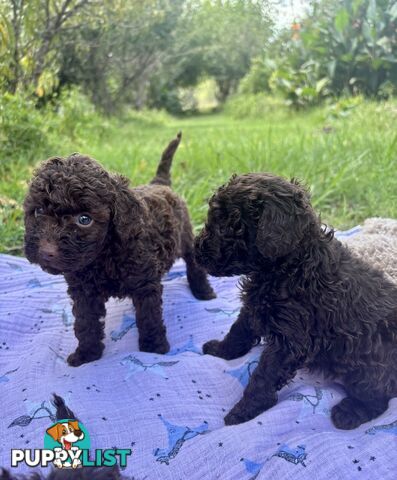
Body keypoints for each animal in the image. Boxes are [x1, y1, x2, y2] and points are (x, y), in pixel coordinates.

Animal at [23, 133, 215, 366]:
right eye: (38, 211)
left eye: (84, 220)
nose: (46, 251)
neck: (103, 255)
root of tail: (159, 183)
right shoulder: (84, 292)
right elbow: (86, 323)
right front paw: (87, 354)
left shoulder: (145, 285)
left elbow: (149, 317)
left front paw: (154, 348)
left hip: (186, 234)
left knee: (194, 263)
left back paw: (203, 291)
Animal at [195, 174, 396, 430]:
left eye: (227, 226)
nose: (196, 250)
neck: (290, 266)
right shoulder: (254, 308)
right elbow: (238, 330)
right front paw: (221, 350)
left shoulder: (289, 340)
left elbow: (263, 376)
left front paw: (243, 412)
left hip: (370, 360)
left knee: (379, 396)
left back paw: (349, 412)